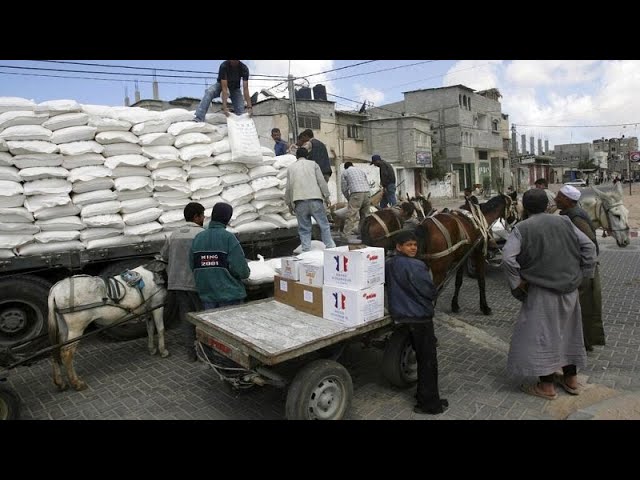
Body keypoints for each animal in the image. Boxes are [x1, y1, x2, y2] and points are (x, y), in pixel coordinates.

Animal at [47, 264, 169, 392]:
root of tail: (55, 289)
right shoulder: (157, 305)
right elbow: (160, 329)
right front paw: (163, 351)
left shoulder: (148, 310)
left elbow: (150, 329)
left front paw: (152, 349)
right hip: (76, 328)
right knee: (67, 353)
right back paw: (77, 383)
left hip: (63, 327)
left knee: (56, 350)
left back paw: (60, 383)